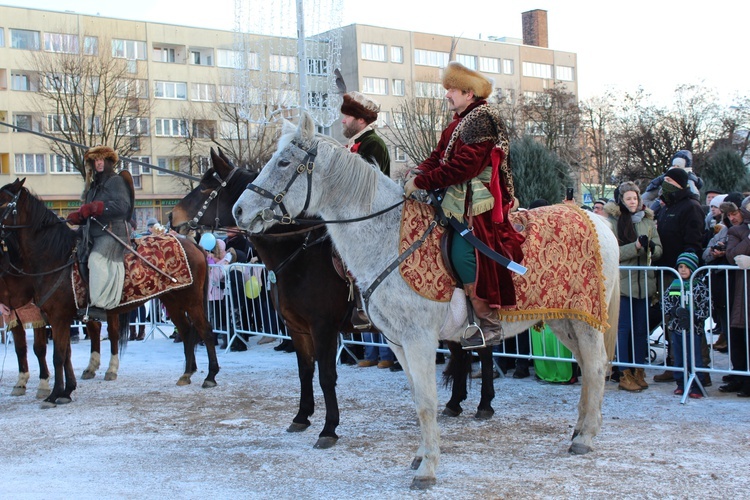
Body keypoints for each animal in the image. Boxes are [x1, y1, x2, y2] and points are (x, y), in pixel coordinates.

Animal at [0, 179, 219, 406]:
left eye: (2, 202)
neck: (55, 256)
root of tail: (192, 244)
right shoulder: (53, 317)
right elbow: (64, 354)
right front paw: (67, 390)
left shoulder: (58, 317)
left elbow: (58, 356)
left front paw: (54, 394)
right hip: (173, 300)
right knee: (186, 331)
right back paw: (187, 373)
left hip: (192, 301)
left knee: (205, 330)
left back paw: (210, 375)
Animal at [170, 148, 352, 450]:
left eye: (206, 186)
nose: (172, 215)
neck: (301, 254)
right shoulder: (297, 327)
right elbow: (305, 371)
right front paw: (302, 416)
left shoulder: (324, 327)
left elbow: (327, 376)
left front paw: (329, 428)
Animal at [236, 112, 624, 488]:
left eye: (284, 162)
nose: (240, 211)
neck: (388, 238)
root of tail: (593, 219)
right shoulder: (395, 342)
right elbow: (415, 397)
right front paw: (421, 456)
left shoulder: (412, 337)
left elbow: (424, 402)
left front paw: (427, 469)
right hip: (564, 319)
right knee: (588, 368)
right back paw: (579, 428)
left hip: (585, 320)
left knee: (594, 367)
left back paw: (585, 437)